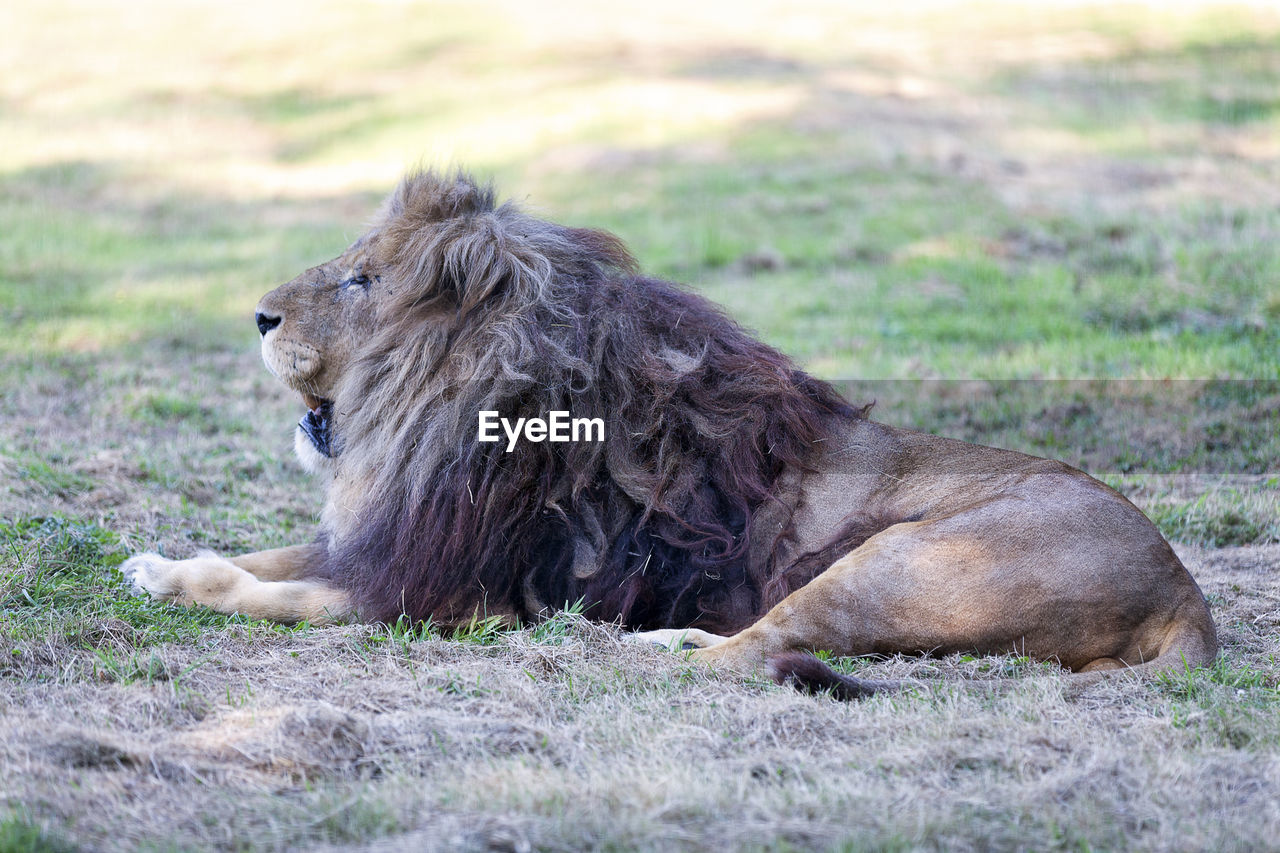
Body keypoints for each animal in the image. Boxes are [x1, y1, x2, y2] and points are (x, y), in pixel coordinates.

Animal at [122, 169, 1218, 696]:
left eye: (359, 280)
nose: (259, 316)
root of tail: (1184, 591)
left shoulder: (443, 594)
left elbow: (265, 588)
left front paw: (182, 579)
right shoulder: (387, 540)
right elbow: (265, 552)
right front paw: (154, 560)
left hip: (902, 560)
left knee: (761, 649)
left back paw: (632, 652)